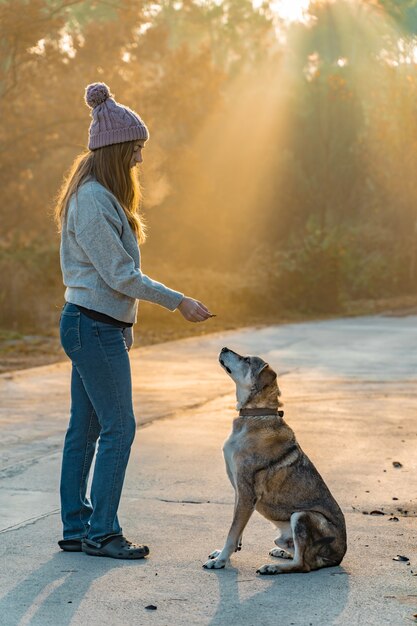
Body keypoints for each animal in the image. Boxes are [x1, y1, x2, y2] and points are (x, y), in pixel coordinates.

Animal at [203, 344, 346, 572]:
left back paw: (274, 568)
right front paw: (225, 553)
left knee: (303, 564)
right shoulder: (239, 491)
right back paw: (282, 552)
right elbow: (237, 527)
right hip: (285, 533)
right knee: (300, 554)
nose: (224, 347)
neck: (255, 415)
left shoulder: (247, 492)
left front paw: (221, 560)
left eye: (246, 360)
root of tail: (340, 556)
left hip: (302, 515)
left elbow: (232, 532)